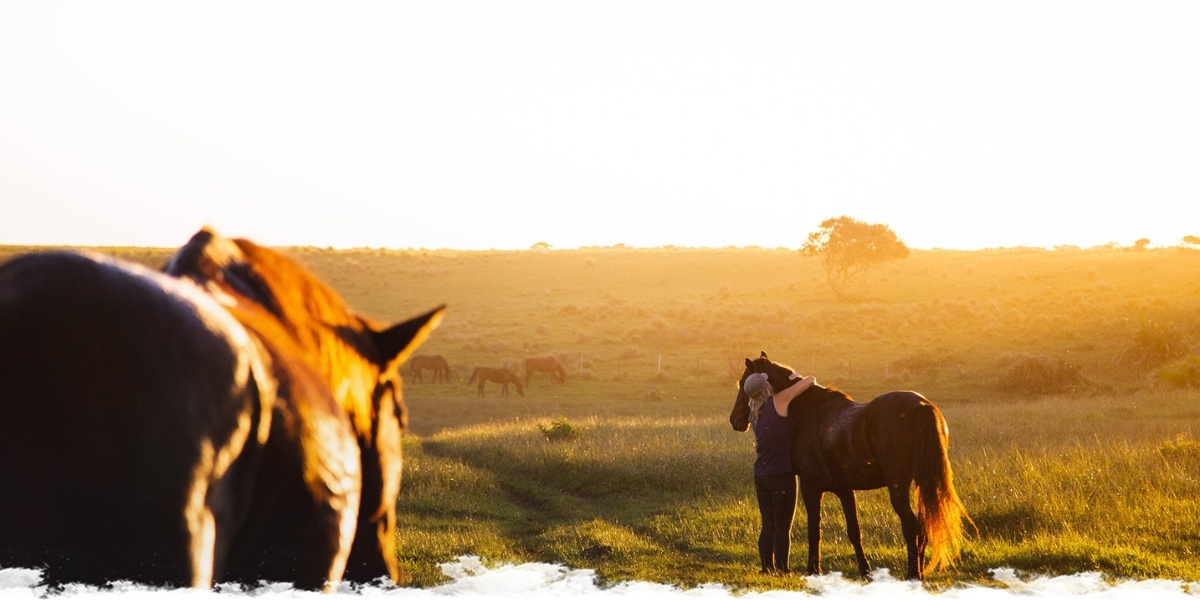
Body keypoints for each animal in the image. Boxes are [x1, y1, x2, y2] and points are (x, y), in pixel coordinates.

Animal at [724, 350, 969, 580]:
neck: (810, 413)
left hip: (898, 486)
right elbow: (854, 531)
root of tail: (921, 405)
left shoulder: (810, 487)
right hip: (920, 482)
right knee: (922, 524)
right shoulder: (844, 489)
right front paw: (865, 570)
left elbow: (814, 529)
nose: (735, 420)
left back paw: (913, 573)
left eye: (742, 384)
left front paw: (813, 569)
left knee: (910, 524)